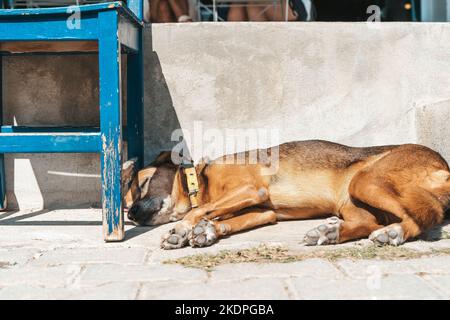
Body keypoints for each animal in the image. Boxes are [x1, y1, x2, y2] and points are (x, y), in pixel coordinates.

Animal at [124, 141, 450, 250]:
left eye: (144, 182)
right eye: (125, 207)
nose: (131, 213)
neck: (200, 183)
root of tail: (443, 168)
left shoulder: (252, 189)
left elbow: (197, 212)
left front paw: (182, 229)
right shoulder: (265, 211)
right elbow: (222, 218)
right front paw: (207, 232)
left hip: (366, 180)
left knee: (425, 217)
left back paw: (394, 233)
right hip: (350, 200)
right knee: (367, 223)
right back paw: (328, 233)